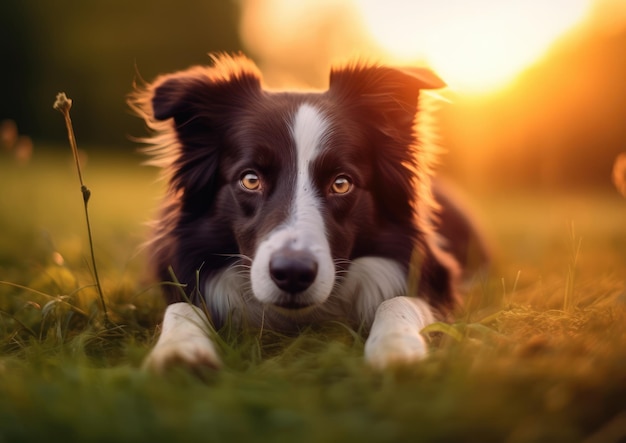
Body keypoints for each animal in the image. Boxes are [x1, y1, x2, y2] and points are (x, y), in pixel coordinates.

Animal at [129, 53, 486, 372]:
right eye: (250, 179)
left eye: (341, 183)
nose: (292, 273)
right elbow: (181, 308)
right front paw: (178, 350)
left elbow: (398, 301)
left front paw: (396, 347)